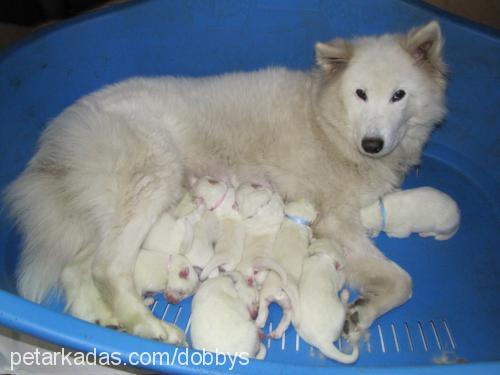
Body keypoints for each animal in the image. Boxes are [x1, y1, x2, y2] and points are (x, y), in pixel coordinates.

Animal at [258, 198, 316, 340]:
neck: (295, 221)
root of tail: (281, 290)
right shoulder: (308, 231)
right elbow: (310, 235)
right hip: (289, 304)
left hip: (277, 301)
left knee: (266, 313)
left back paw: (269, 329)